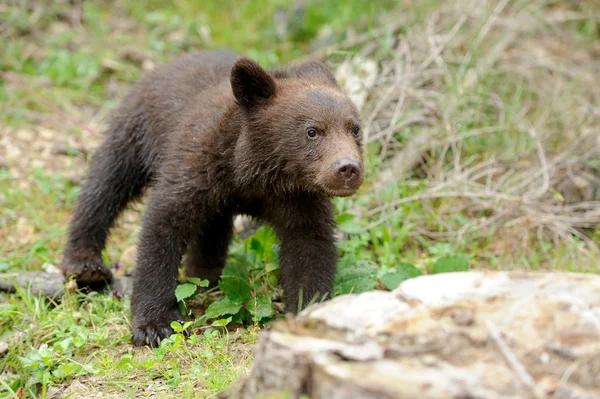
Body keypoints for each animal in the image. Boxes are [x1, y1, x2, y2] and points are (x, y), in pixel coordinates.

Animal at [62, 51, 366, 346]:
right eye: (312, 131)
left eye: (355, 129)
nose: (348, 168)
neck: (256, 173)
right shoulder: (196, 164)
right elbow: (163, 227)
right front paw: (154, 325)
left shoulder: (300, 199)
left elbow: (310, 248)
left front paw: (311, 313)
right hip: (135, 133)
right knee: (105, 185)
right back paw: (85, 264)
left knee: (213, 225)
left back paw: (205, 272)